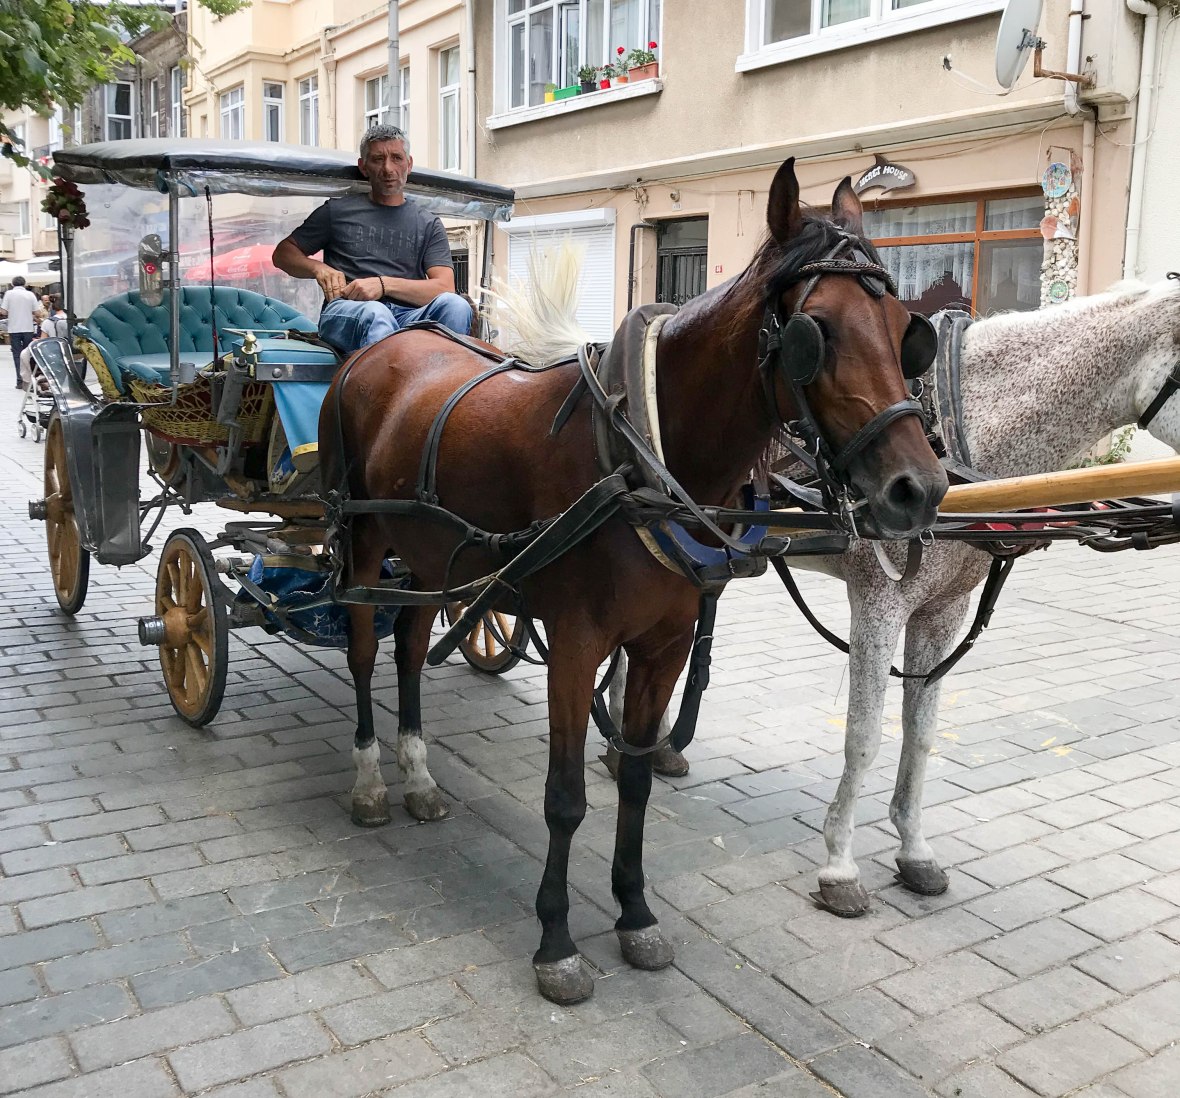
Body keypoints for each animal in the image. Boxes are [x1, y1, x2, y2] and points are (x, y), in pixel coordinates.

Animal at [318, 158, 948, 1004]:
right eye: (818, 334)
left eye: (905, 331)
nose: (920, 490)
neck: (642, 451)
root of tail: (380, 350)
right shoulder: (577, 643)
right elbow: (564, 798)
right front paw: (556, 942)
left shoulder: (663, 646)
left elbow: (640, 781)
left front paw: (635, 913)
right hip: (361, 543)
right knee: (363, 651)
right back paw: (370, 782)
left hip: (426, 561)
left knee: (412, 647)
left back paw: (416, 774)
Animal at [614, 271, 1180, 917]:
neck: (961, 430)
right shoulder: (879, 606)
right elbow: (862, 737)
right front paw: (839, 865)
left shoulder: (943, 613)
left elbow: (921, 732)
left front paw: (914, 849)